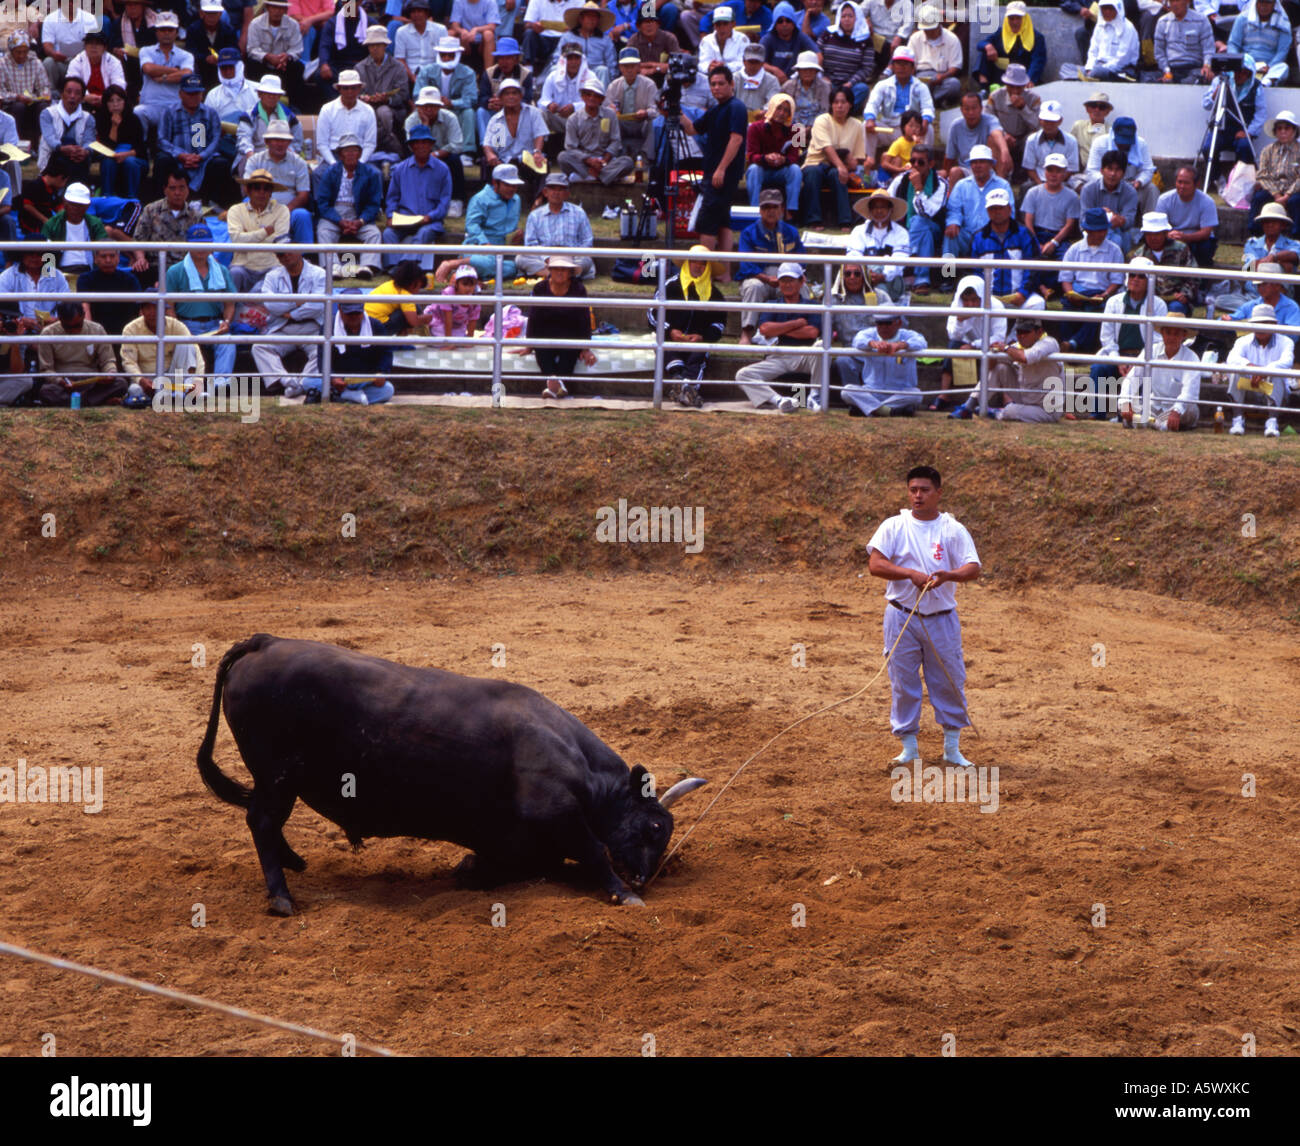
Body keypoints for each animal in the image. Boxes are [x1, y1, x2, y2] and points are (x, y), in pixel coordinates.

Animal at [197, 635, 707, 915]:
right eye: (654, 826)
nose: (642, 878)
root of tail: (266, 641)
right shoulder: (558, 813)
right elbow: (594, 852)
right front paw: (623, 894)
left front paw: (470, 869)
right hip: (278, 777)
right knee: (262, 821)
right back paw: (281, 896)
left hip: (275, 781)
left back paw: (293, 864)